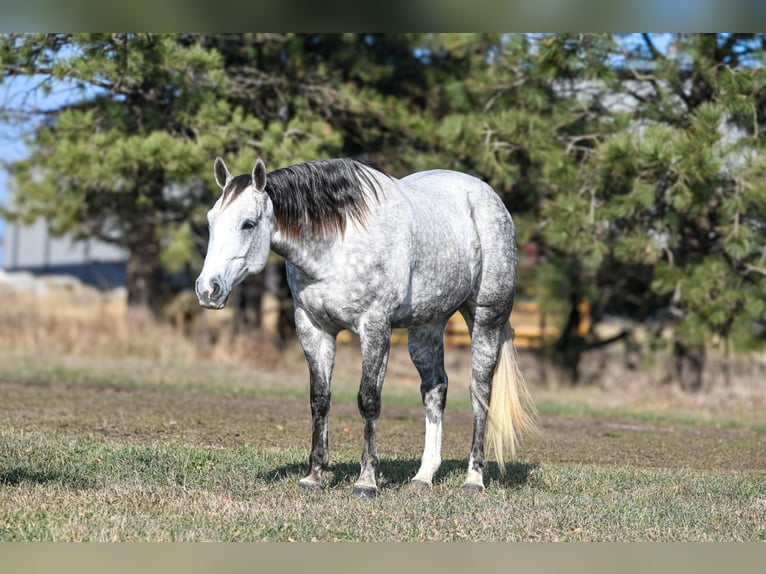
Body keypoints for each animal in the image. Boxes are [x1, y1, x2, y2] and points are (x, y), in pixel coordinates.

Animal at [196, 156, 539, 497]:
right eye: (211, 221)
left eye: (248, 224)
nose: (208, 289)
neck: (336, 246)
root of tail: (487, 196)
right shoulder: (313, 328)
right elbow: (319, 399)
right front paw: (313, 476)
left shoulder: (374, 327)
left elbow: (368, 400)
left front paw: (366, 481)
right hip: (427, 326)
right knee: (435, 389)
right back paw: (423, 476)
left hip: (486, 319)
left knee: (480, 392)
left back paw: (473, 479)